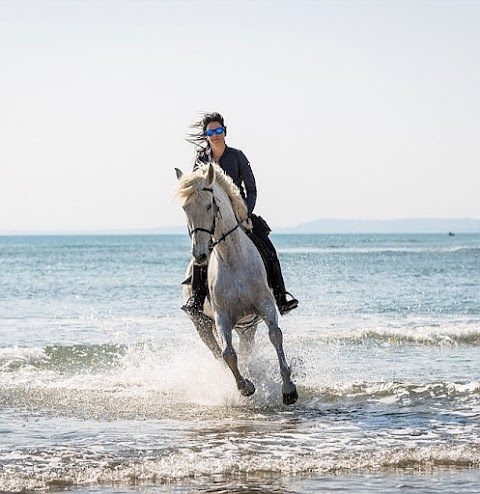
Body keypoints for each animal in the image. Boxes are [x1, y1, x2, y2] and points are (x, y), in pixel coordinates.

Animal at [174, 163, 298, 406]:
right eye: (185, 209)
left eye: (209, 205)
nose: (200, 255)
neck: (232, 258)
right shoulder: (222, 316)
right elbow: (228, 354)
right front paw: (245, 387)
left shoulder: (265, 305)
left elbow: (275, 335)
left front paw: (288, 389)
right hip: (203, 325)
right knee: (217, 352)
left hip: (248, 326)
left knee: (247, 349)